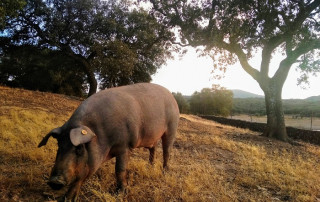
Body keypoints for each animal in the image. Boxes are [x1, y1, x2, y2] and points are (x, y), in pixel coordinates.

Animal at [37, 83, 180, 201]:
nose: (55, 181)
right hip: (153, 137)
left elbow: (119, 169)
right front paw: (66, 199)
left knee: (167, 151)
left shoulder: (125, 146)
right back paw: (150, 167)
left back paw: (164, 171)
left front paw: (120, 193)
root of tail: (172, 96)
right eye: (59, 146)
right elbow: (79, 179)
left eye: (79, 149)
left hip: (172, 127)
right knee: (153, 149)